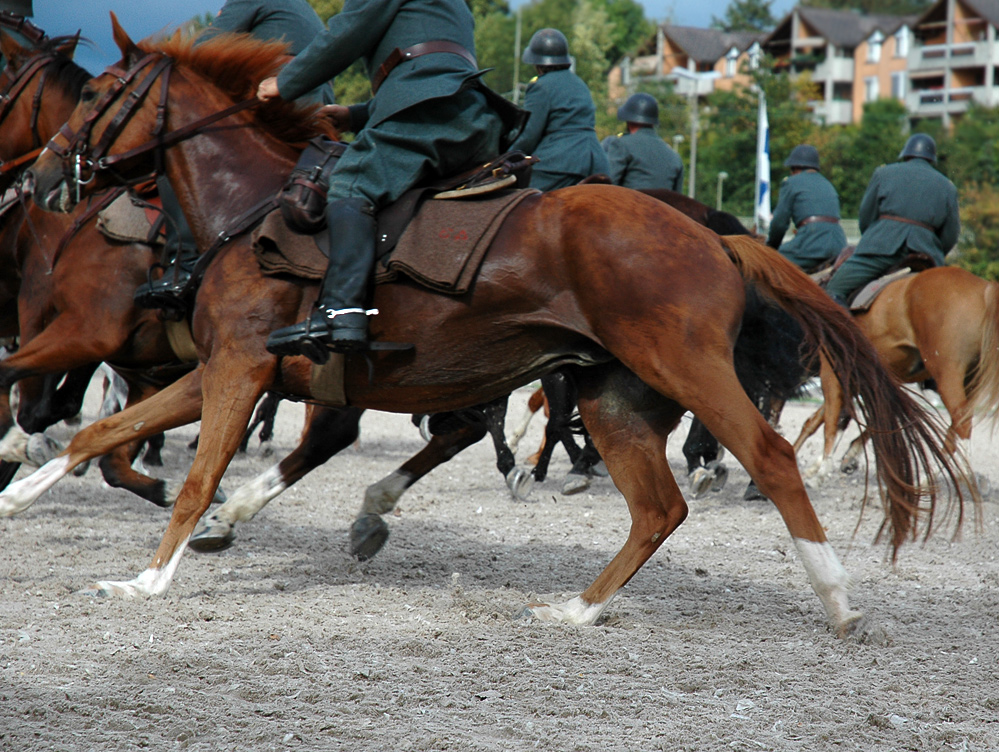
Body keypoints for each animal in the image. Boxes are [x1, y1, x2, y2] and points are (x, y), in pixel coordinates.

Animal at [17, 23, 968, 636]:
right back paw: (579, 609)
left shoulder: (237, 373)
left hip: (684, 372)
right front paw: (19, 495)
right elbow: (106, 429)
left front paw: (149, 580)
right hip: (615, 400)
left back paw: (836, 598)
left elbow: (192, 474)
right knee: (656, 506)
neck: (242, 208)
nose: (41, 176)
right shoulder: (214, 369)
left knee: (767, 457)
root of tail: (712, 234)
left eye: (97, 93)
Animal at [796, 264, 999, 482]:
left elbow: (832, 419)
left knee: (961, 424)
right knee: (956, 425)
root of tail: (985, 289)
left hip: (948, 377)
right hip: (970, 382)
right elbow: (824, 418)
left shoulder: (832, 370)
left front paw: (821, 470)